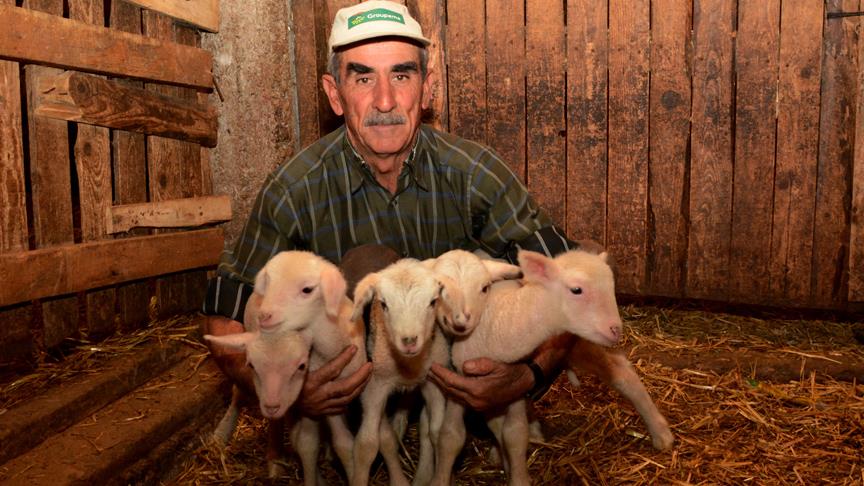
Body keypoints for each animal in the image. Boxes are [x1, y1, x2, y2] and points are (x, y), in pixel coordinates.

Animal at [349, 258, 457, 486]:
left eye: (433, 302)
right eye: (383, 304)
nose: (409, 341)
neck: (409, 365)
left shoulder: (434, 382)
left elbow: (436, 433)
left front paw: (440, 477)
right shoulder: (375, 386)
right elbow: (368, 444)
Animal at [431, 249, 624, 486]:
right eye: (577, 290)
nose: (616, 330)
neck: (498, 323)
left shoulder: (511, 382)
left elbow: (515, 435)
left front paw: (518, 476)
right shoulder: (458, 380)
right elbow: (450, 436)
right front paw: (440, 478)